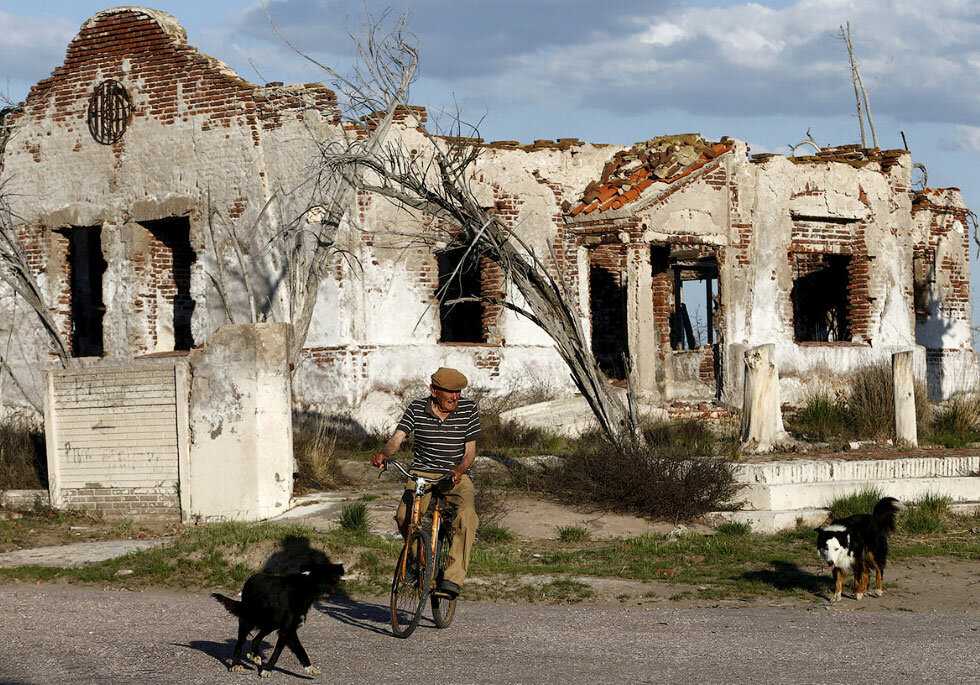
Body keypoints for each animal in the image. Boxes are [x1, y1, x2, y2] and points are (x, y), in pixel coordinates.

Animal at [212, 560, 344, 672]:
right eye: (330, 579)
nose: (335, 592)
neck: (304, 587)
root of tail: (250, 579)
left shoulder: (290, 629)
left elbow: (300, 649)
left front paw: (309, 668)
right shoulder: (286, 630)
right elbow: (277, 652)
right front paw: (267, 670)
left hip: (270, 623)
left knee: (255, 640)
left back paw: (255, 656)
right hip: (248, 620)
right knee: (240, 643)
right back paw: (236, 664)